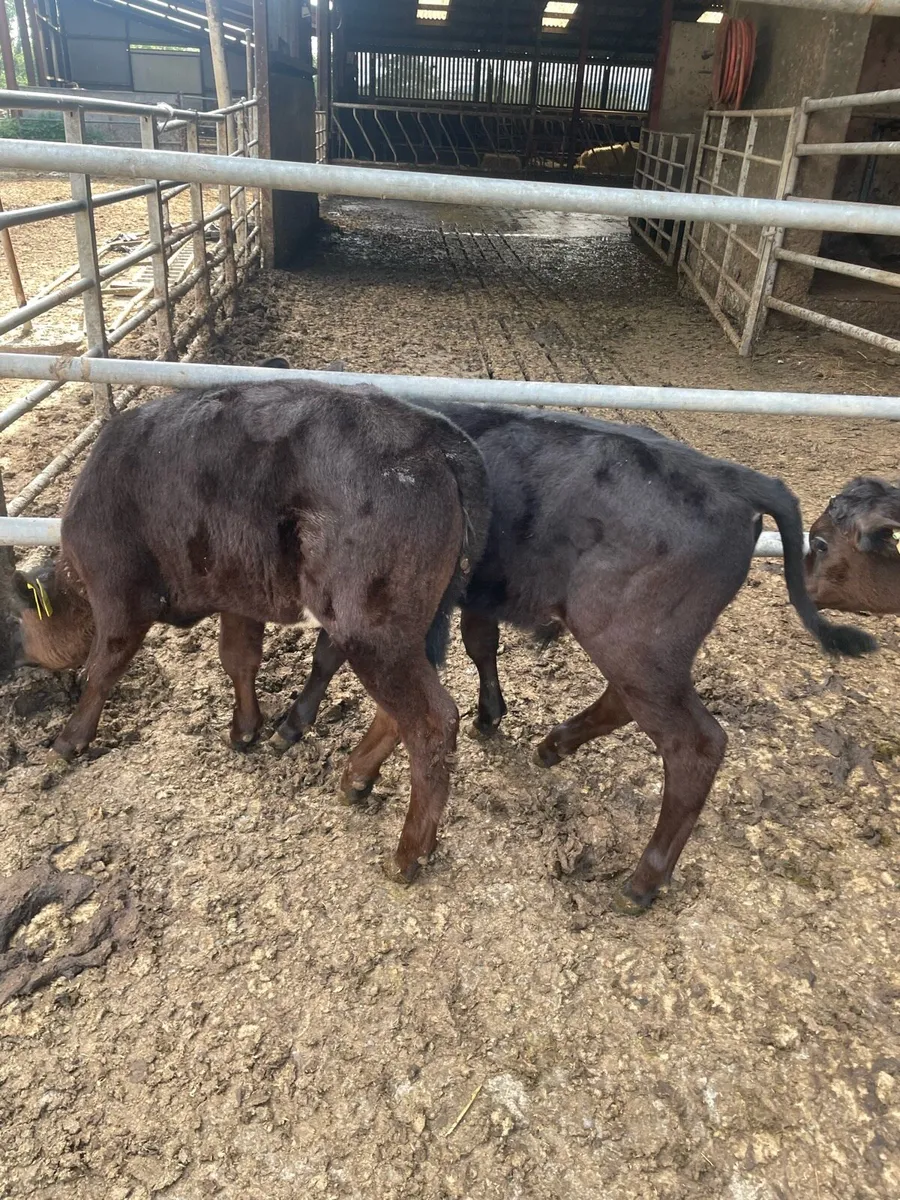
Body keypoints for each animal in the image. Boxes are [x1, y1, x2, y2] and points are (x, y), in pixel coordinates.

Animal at [9, 378, 490, 884]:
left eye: (11, 619)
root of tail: (436, 439)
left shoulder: (119, 595)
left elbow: (102, 669)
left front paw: (67, 741)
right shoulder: (237, 595)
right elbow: (239, 658)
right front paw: (245, 729)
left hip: (373, 633)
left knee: (432, 722)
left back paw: (408, 853)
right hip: (411, 628)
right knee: (395, 713)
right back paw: (355, 778)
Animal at [251, 372, 875, 910]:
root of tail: (731, 476)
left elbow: (334, 657)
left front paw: (293, 726)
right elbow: (470, 650)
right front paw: (485, 715)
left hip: (631, 639)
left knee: (695, 744)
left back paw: (642, 881)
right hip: (644, 649)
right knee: (626, 702)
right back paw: (553, 746)